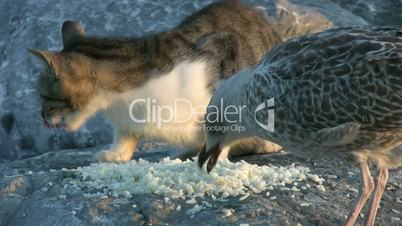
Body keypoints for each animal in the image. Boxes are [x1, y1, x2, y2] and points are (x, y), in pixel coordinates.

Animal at [29, 0, 282, 162]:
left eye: (43, 95)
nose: (41, 115)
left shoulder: (227, 49)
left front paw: (216, 156)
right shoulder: (127, 120)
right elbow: (125, 135)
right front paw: (115, 154)